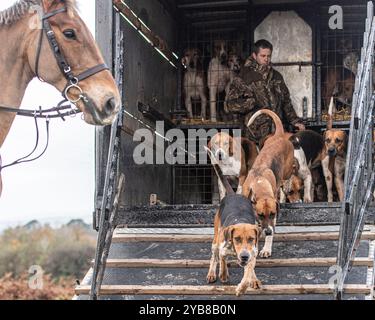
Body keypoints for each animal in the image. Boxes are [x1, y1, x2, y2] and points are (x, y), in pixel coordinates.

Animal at [206, 149, 262, 296]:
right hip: (215, 240)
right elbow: (222, 259)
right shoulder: (222, 247)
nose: (244, 256)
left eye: (251, 239)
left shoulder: (252, 253)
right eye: (236, 239)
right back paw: (212, 273)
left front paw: (243, 287)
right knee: (214, 257)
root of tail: (233, 194)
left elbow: (248, 272)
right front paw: (223, 275)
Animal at [242, 110, 296, 258]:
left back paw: (287, 186)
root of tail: (278, 135)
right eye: (260, 215)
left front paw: (266, 248)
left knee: (291, 172)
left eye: (272, 214)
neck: (259, 183)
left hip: (287, 169)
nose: (268, 232)